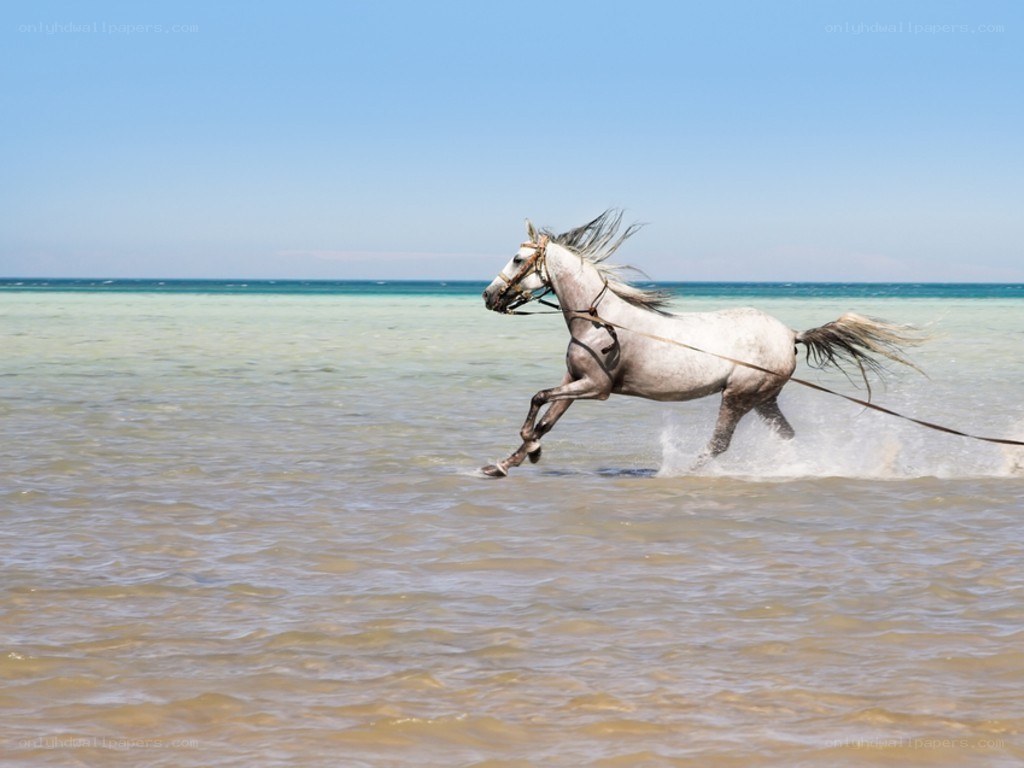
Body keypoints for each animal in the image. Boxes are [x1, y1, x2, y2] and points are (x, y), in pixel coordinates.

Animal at [480, 210, 923, 477]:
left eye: (517, 260)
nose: (488, 296)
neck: (600, 322)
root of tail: (790, 334)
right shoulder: (574, 381)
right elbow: (547, 418)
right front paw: (507, 462)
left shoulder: (597, 387)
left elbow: (538, 400)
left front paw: (530, 449)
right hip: (764, 400)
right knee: (786, 436)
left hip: (739, 396)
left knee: (720, 444)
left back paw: (684, 472)